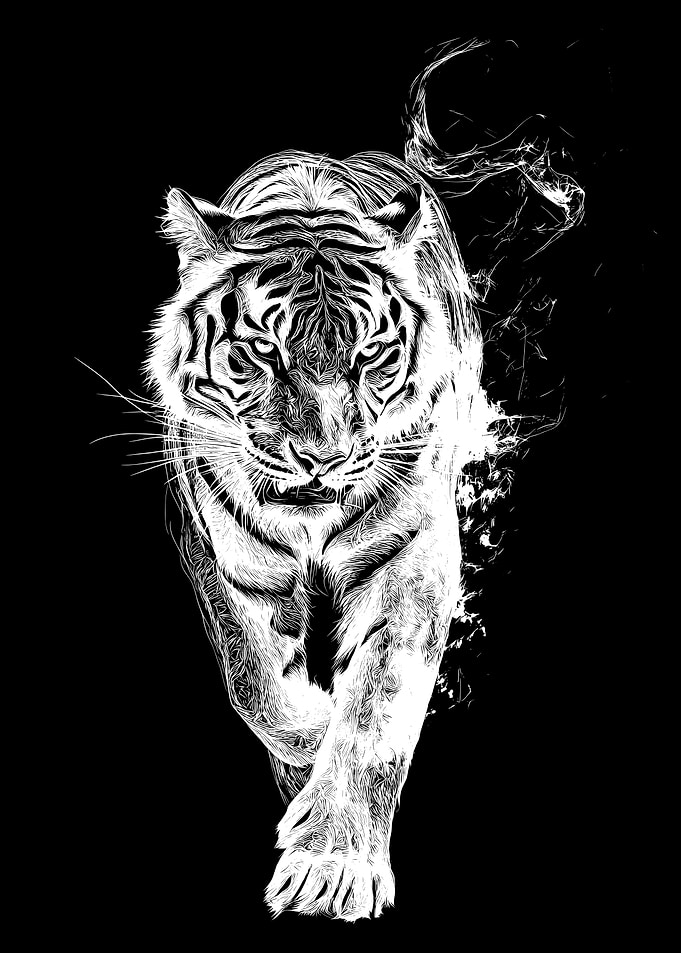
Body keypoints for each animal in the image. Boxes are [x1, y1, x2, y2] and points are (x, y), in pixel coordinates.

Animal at [146, 147, 506, 920]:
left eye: (371, 355)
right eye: (260, 354)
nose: (322, 457)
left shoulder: (412, 556)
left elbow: (377, 705)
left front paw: (331, 863)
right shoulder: (218, 554)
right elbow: (254, 681)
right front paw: (312, 739)